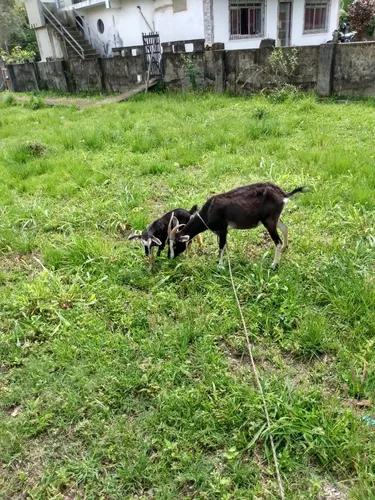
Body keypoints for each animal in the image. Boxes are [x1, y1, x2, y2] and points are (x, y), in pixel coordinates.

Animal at [170, 183, 308, 268]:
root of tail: (283, 194)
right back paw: (285, 247)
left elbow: (221, 247)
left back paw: (274, 265)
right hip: (274, 218)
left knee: (277, 241)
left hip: (269, 221)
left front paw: (219, 266)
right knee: (285, 228)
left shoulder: (223, 230)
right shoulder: (221, 232)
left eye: (175, 244)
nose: (169, 257)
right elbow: (224, 246)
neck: (209, 212)